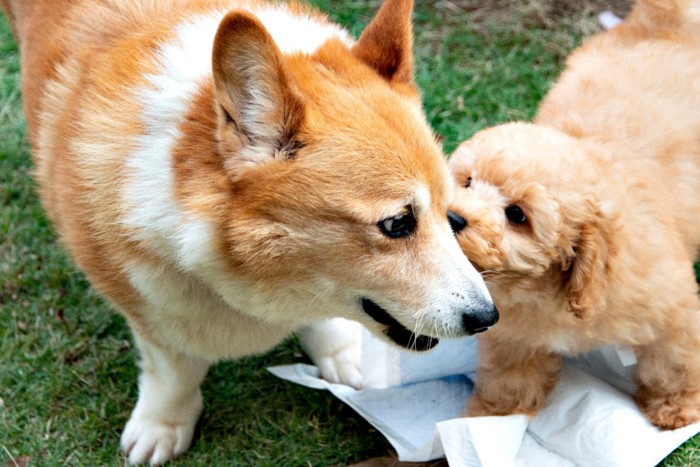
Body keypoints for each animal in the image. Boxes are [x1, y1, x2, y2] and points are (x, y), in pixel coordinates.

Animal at [2, 0, 500, 464]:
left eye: (450, 214)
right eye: (397, 223)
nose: (488, 318)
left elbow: (322, 318)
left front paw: (341, 356)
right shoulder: (144, 302)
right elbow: (174, 370)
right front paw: (163, 425)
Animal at [448, 0, 700, 432]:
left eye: (517, 215)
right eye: (467, 181)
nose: (452, 217)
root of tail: (662, 23)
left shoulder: (672, 311)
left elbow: (673, 363)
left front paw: (677, 407)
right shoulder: (513, 335)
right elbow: (509, 376)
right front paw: (492, 418)